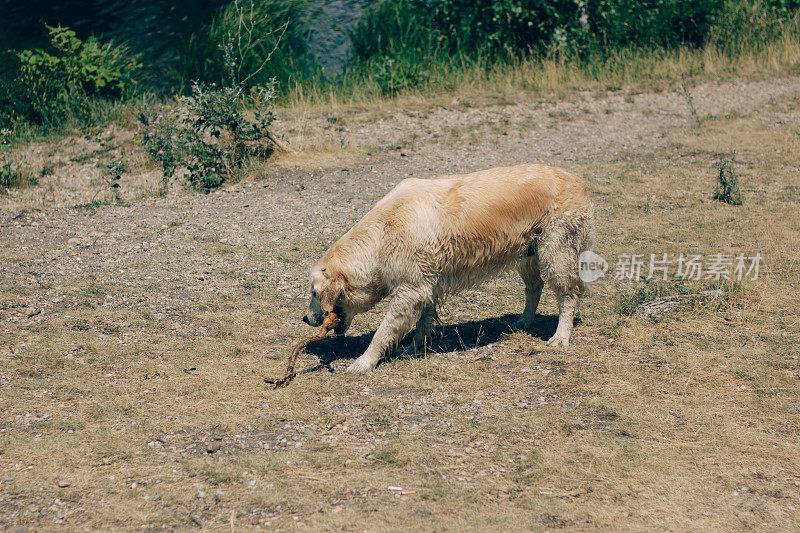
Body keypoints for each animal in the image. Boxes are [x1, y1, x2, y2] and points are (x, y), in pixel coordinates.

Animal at [304, 164, 596, 372]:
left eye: (314, 293)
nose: (305, 319)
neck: (382, 233)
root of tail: (578, 181)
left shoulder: (410, 287)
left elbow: (384, 330)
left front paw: (364, 362)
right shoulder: (425, 282)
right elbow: (422, 321)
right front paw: (413, 348)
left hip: (556, 247)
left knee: (568, 292)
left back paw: (561, 336)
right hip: (527, 251)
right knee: (535, 285)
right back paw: (523, 321)